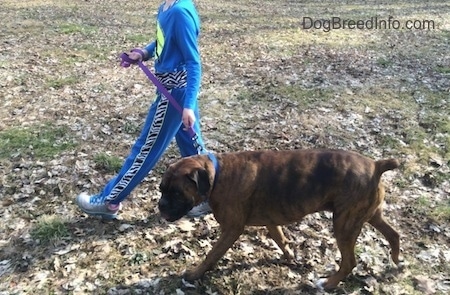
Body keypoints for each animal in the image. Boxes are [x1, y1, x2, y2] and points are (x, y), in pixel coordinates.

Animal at [158, 149, 400, 290]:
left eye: (176, 193)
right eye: (161, 189)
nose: (160, 206)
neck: (218, 175)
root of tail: (375, 165)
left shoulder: (231, 229)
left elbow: (211, 255)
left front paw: (195, 274)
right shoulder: (271, 221)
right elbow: (281, 239)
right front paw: (290, 256)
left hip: (344, 224)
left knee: (350, 262)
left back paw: (329, 283)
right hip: (368, 215)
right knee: (394, 235)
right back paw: (396, 261)